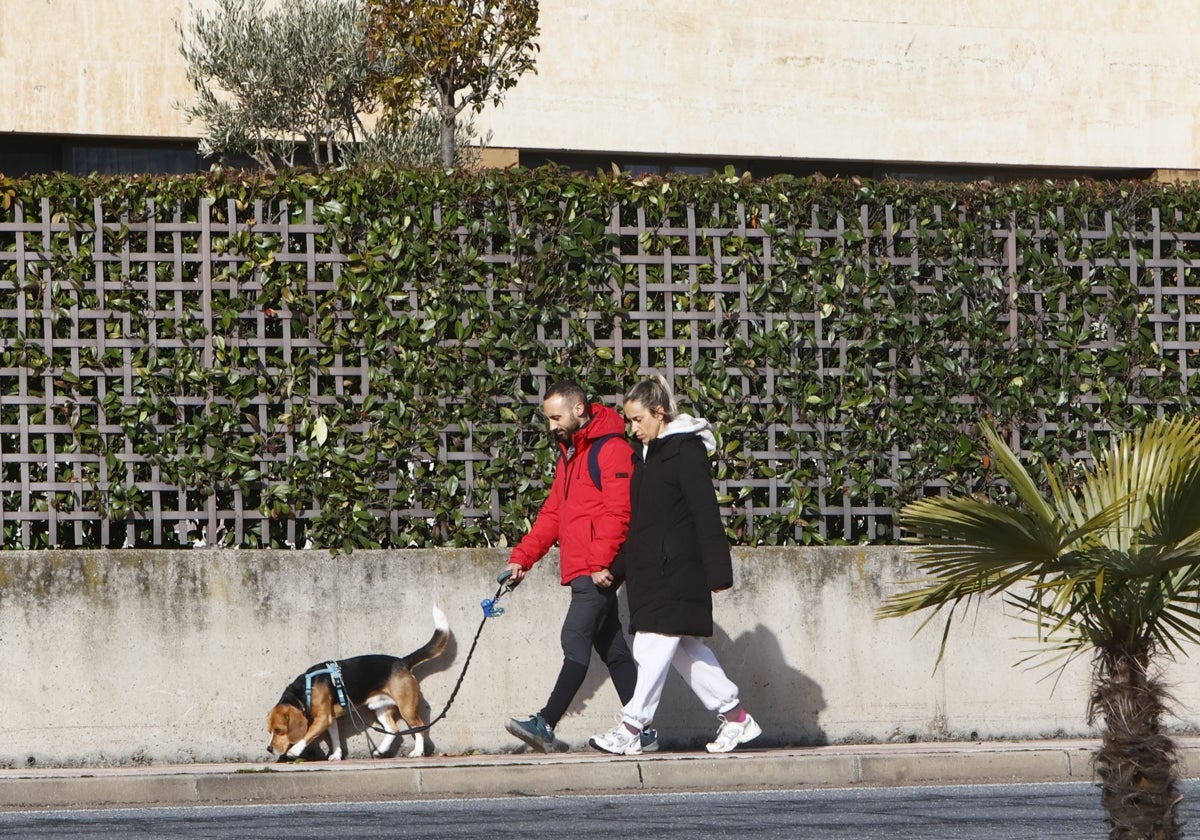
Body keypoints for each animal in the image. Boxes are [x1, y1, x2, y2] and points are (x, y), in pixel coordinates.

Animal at [267, 604, 451, 763]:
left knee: (420, 727)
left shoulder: (323, 719)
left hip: (407, 707)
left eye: (279, 730)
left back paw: (417, 751)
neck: (304, 690)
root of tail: (402, 661)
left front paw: (294, 750)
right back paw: (380, 751)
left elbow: (308, 734)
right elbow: (335, 738)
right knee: (393, 729)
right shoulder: (330, 720)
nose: (269, 749)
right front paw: (336, 754)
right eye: (270, 731)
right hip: (380, 708)